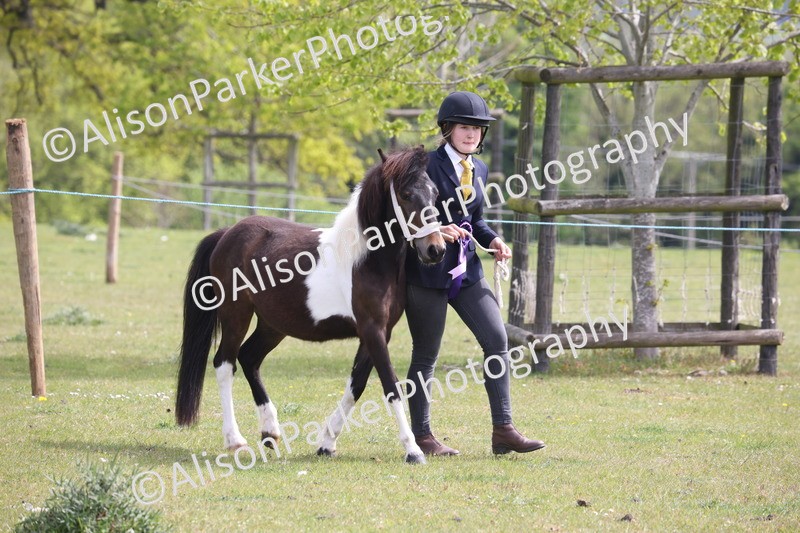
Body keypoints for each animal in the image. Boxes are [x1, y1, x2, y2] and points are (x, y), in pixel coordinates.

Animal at [175, 146, 446, 463]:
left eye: (435, 192)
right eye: (405, 194)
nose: (435, 250)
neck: (366, 260)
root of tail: (227, 233)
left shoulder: (379, 333)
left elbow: (357, 385)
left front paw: (327, 443)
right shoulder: (372, 331)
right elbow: (391, 386)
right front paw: (413, 450)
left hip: (273, 324)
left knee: (249, 358)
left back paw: (270, 432)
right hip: (235, 315)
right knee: (224, 363)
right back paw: (236, 440)